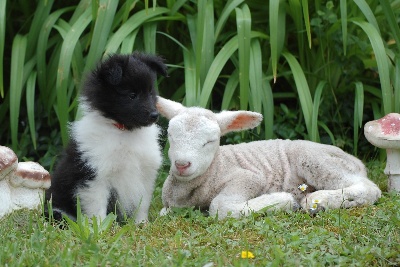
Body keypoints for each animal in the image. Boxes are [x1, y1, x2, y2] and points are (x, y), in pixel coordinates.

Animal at [46, 52, 167, 224]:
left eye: (151, 93)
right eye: (132, 95)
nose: (154, 115)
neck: (125, 132)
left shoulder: (144, 175)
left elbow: (142, 204)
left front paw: (142, 224)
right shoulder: (95, 177)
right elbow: (97, 209)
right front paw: (101, 228)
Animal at [155, 97, 382, 219]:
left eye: (210, 141)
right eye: (170, 135)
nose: (182, 164)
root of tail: (356, 161)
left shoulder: (249, 177)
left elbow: (219, 207)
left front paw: (283, 201)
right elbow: (164, 212)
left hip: (315, 159)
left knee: (369, 188)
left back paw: (317, 200)